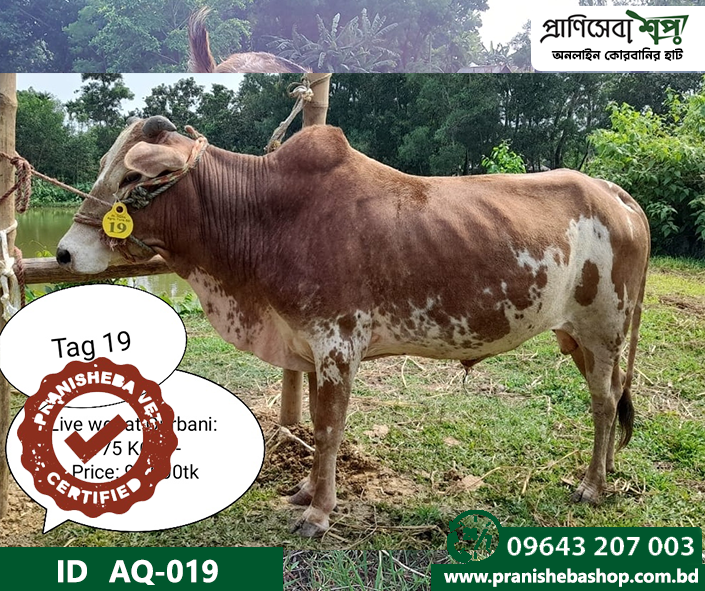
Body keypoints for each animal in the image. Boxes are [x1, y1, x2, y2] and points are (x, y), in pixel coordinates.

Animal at [57, 116, 651, 537]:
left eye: (134, 176)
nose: (64, 252)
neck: (263, 218)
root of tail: (614, 193)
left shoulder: (337, 344)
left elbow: (328, 429)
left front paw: (319, 514)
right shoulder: (308, 346)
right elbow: (321, 430)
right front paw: (305, 492)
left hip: (603, 329)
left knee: (604, 404)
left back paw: (592, 486)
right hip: (577, 336)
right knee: (610, 399)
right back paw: (606, 472)